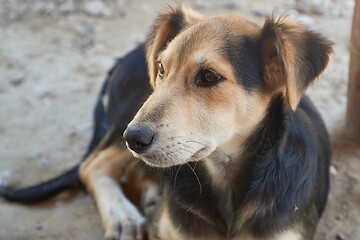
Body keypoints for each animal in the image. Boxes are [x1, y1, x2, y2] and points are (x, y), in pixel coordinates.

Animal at [0, 5, 332, 240]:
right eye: (161, 68)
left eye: (209, 76)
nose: (133, 139)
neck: (223, 174)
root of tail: (125, 56)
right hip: (133, 105)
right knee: (91, 164)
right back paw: (123, 215)